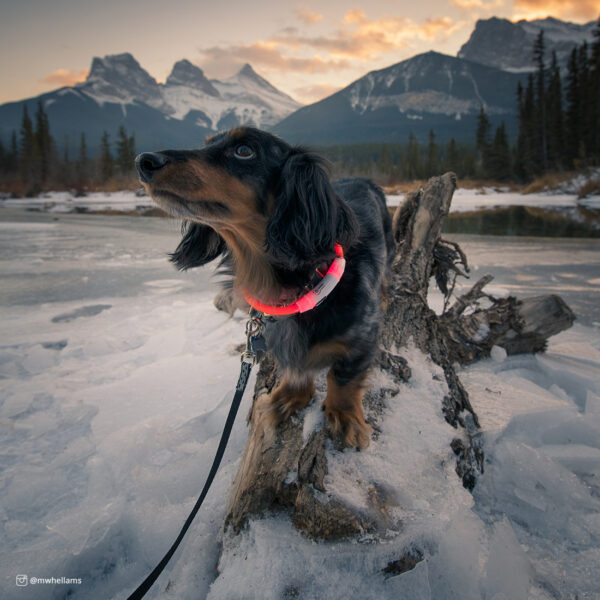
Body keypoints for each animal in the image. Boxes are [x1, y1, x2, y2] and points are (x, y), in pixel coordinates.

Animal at [138, 126, 396, 448]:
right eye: (207, 143)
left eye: (244, 150)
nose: (143, 161)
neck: (306, 284)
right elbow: (296, 368)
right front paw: (288, 397)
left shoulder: (363, 339)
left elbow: (343, 378)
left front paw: (346, 417)